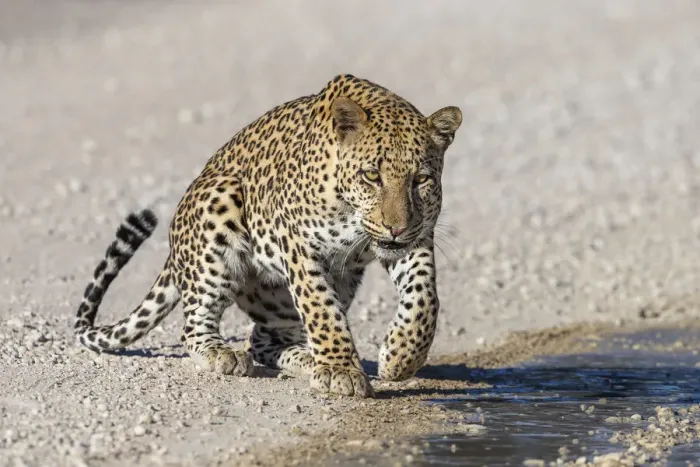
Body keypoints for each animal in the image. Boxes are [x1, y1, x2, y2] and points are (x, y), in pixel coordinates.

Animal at [74, 74, 462, 398]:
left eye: (421, 180)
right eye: (371, 176)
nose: (395, 227)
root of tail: (174, 248)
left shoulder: (416, 239)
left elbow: (425, 299)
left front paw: (399, 357)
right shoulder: (300, 246)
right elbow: (321, 310)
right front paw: (340, 370)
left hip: (316, 287)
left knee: (261, 339)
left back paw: (306, 358)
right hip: (220, 205)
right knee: (197, 325)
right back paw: (222, 353)